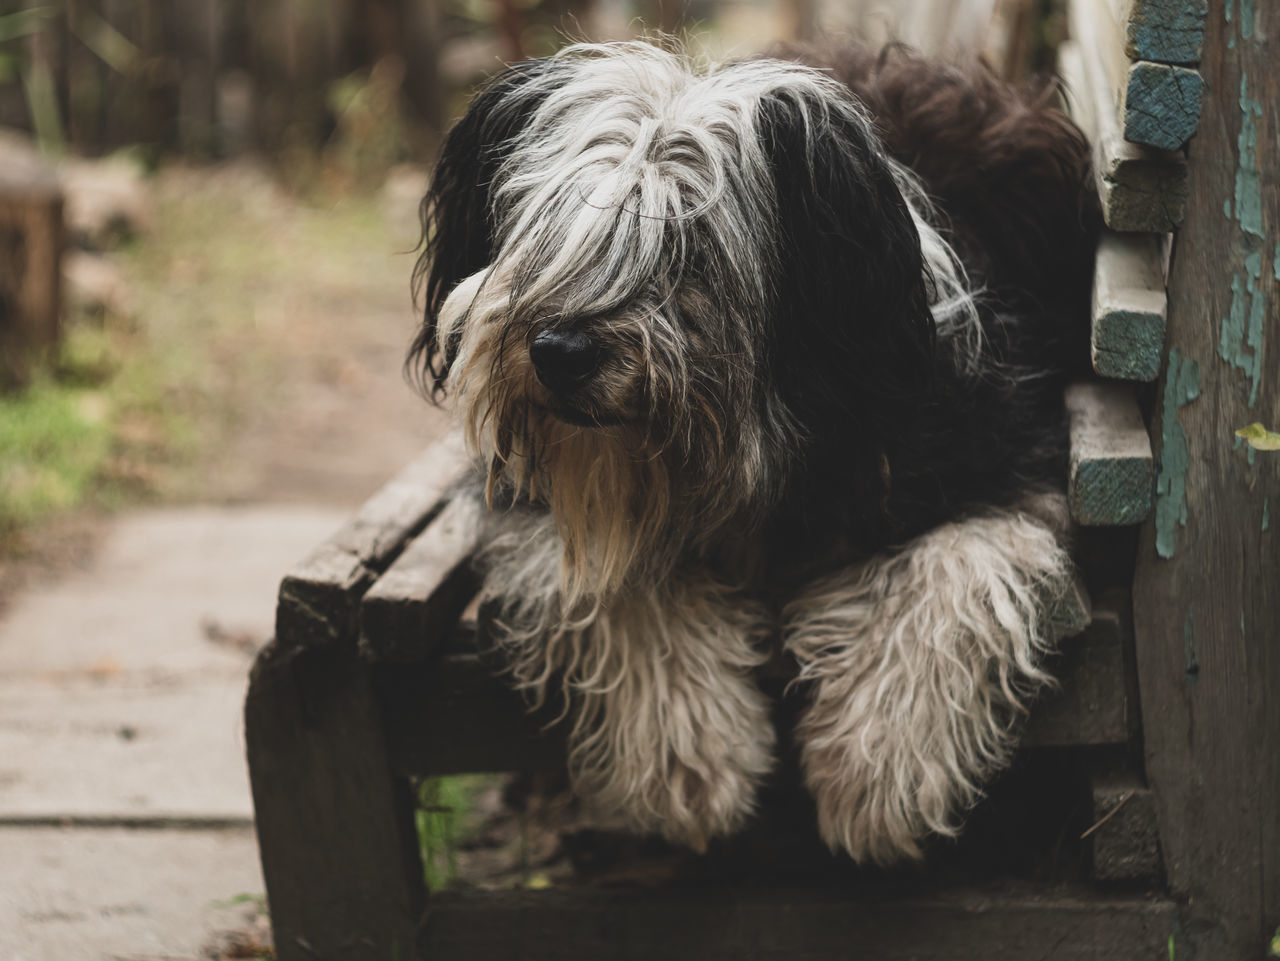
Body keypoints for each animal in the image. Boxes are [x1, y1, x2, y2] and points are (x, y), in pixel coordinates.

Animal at [409, 39, 1100, 865]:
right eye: (549, 228)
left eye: (691, 247)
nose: (560, 353)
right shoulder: (534, 498)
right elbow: (616, 579)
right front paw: (694, 761)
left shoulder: (1003, 462)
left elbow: (952, 570)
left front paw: (876, 772)